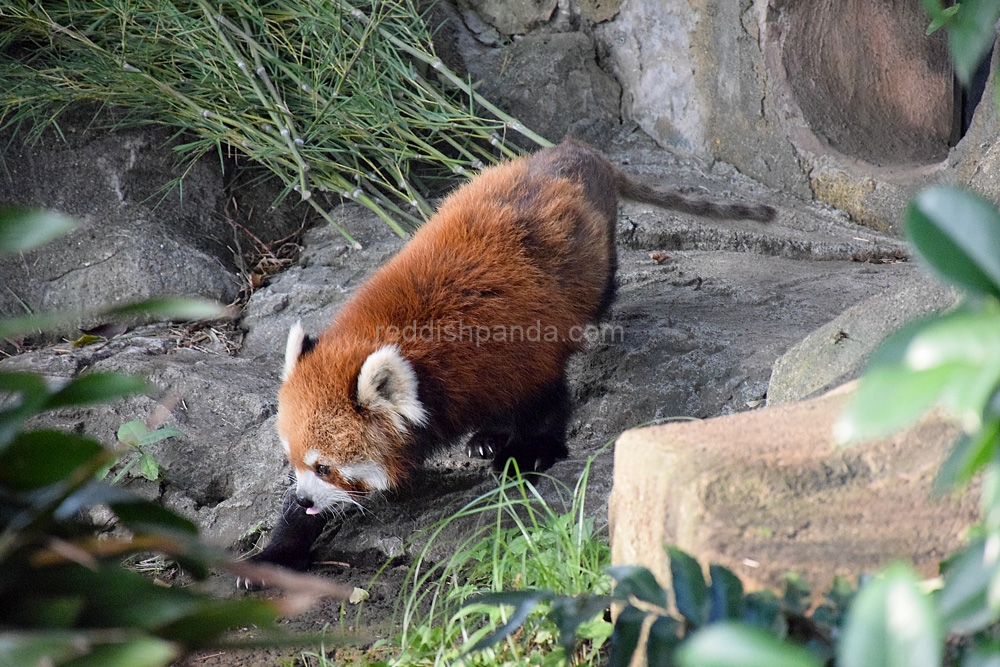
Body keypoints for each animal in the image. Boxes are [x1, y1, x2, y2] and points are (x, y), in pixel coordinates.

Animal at [244, 140, 772, 576]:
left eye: (325, 467)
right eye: (293, 460)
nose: (303, 498)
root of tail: (576, 150)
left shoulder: (513, 352)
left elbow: (546, 400)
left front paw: (530, 452)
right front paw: (279, 547)